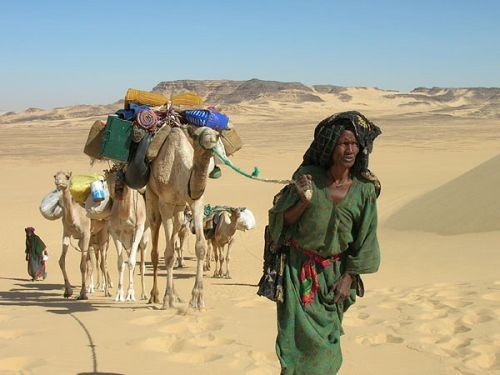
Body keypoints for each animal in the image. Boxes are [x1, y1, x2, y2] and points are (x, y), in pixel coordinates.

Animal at [105, 170, 150, 302]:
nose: (117, 187)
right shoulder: (114, 231)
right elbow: (121, 263)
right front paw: (119, 294)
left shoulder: (138, 228)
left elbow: (131, 262)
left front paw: (130, 294)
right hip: (127, 243)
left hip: (144, 238)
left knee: (141, 265)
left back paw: (144, 294)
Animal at [146, 125, 218, 310]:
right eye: (198, 135)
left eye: (217, 134)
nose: (211, 142)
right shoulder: (165, 203)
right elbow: (169, 253)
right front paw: (167, 298)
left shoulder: (196, 201)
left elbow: (200, 246)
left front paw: (197, 298)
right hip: (152, 195)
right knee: (155, 236)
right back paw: (155, 295)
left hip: (179, 208)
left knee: (177, 227)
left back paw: (177, 295)